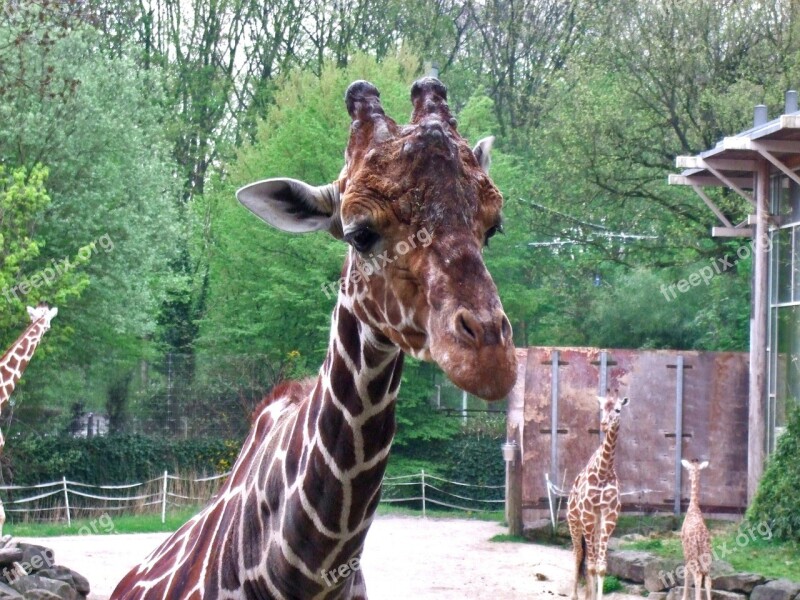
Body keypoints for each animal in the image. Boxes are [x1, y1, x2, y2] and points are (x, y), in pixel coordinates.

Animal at [564, 394, 628, 600]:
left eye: (618, 409)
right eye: (601, 409)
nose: (604, 424)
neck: (603, 471)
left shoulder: (609, 516)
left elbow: (600, 567)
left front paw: (595, 595)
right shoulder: (588, 515)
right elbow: (591, 565)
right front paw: (586, 596)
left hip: (596, 525)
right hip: (574, 520)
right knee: (577, 553)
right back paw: (575, 595)